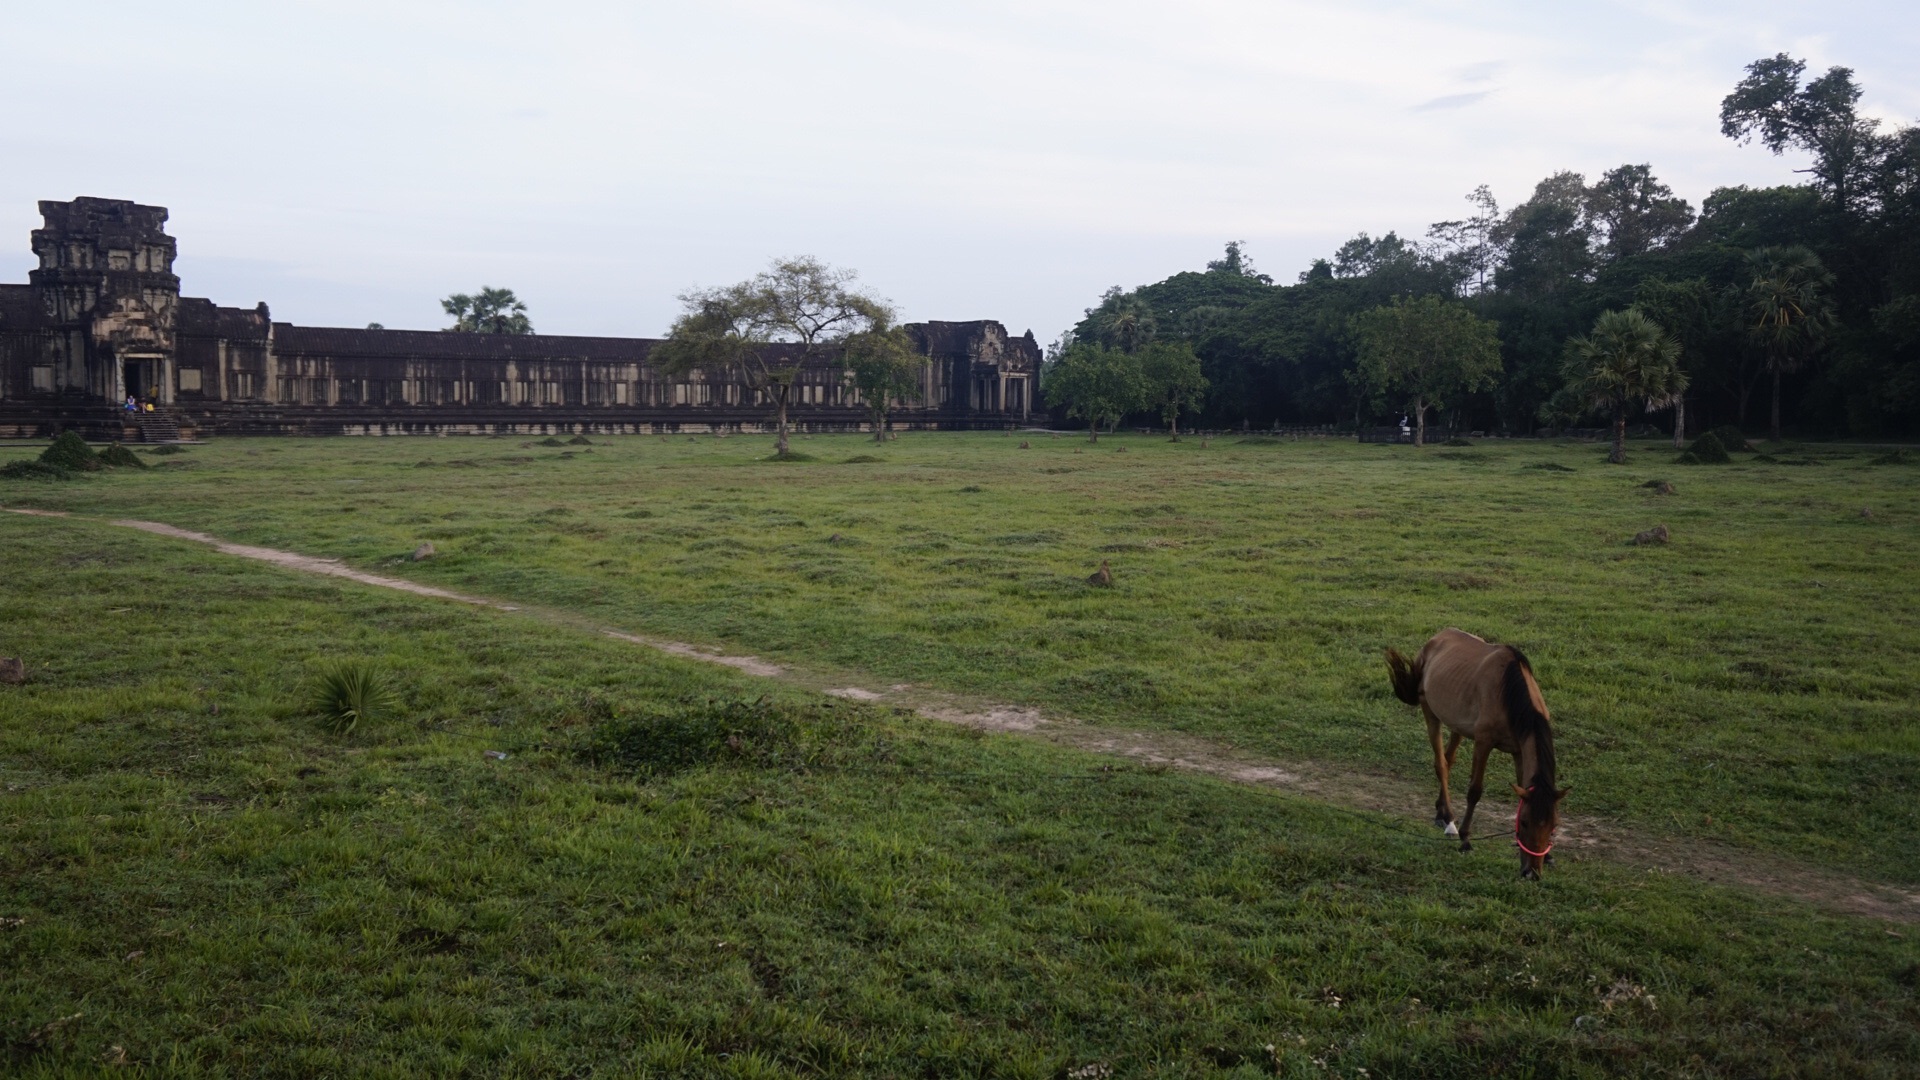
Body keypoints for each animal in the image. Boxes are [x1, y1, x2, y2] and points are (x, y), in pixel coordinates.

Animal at [1390, 626, 1566, 868]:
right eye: (1525, 822)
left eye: (1553, 825)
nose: (1532, 869)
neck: (1509, 694)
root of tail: (1434, 640)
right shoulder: (1483, 743)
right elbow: (1475, 791)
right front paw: (1465, 839)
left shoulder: (1519, 750)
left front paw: (1547, 855)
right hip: (1431, 712)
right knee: (1441, 764)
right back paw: (1449, 821)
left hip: (1458, 725)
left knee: (1448, 760)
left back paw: (1441, 813)